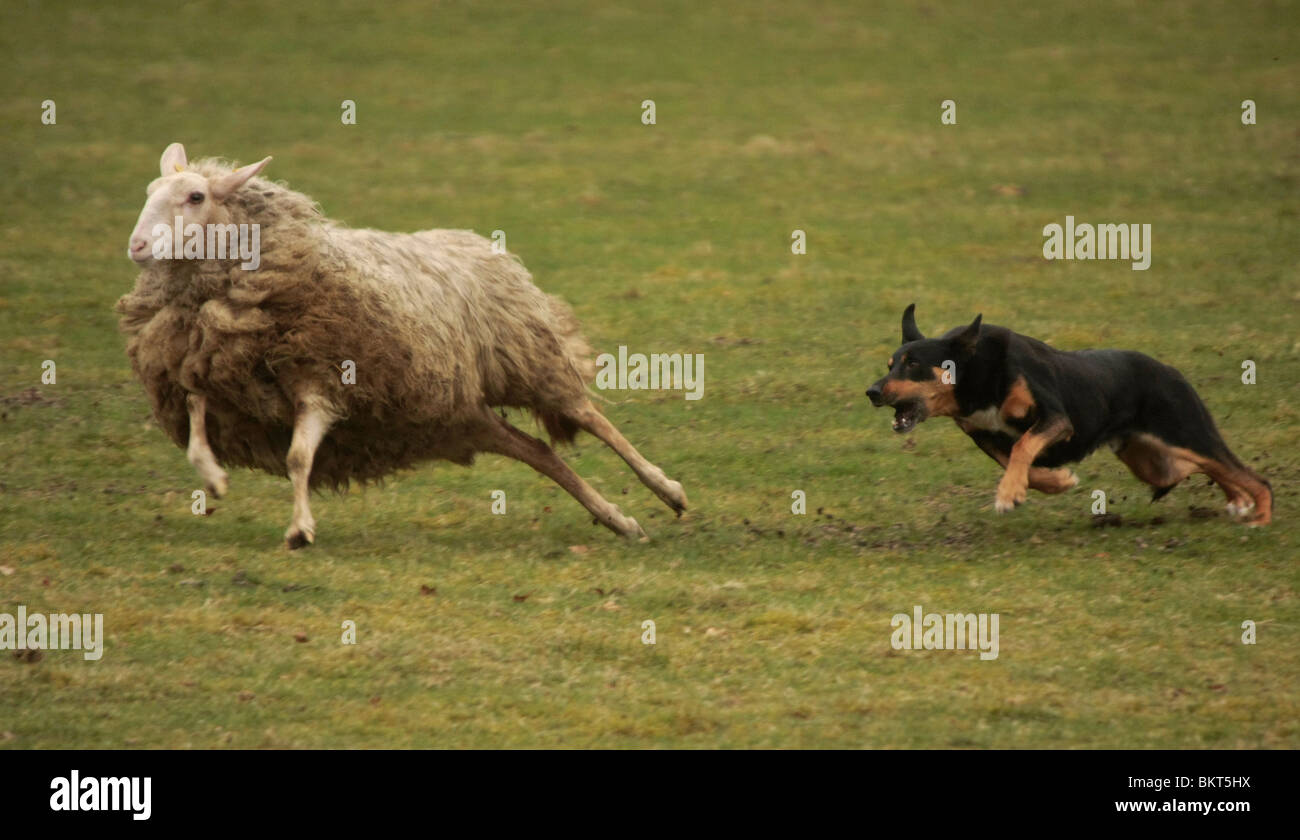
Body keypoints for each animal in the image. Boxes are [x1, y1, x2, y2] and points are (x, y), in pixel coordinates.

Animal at [119, 141, 691, 548]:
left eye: (195, 197)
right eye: (148, 191)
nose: (137, 245)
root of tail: (480, 243)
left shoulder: (323, 379)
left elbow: (299, 458)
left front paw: (300, 529)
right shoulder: (207, 375)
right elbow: (196, 432)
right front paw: (215, 479)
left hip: (530, 361)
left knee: (595, 420)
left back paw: (668, 491)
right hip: (461, 412)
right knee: (540, 452)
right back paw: (618, 520)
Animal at [863, 302, 1268, 525]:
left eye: (913, 364)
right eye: (890, 365)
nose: (872, 392)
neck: (978, 373)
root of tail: (1171, 371)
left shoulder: (1057, 419)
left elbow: (1023, 446)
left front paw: (1009, 494)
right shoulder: (983, 434)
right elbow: (1019, 461)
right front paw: (1053, 482)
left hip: (1185, 431)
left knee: (1251, 476)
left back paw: (1259, 518)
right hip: (1153, 461)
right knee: (1204, 469)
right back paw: (1239, 503)